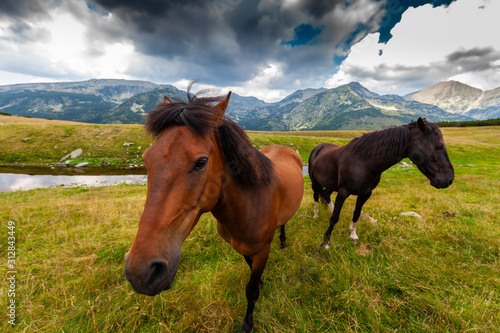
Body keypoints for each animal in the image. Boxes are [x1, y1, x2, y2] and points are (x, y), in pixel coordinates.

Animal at [125, 87, 304, 330]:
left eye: (201, 162)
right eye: (146, 159)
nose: (141, 272)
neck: (248, 207)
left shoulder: (262, 251)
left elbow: (251, 291)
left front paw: (248, 323)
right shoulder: (243, 249)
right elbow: (251, 273)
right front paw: (261, 282)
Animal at [308, 118, 454, 248]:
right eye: (439, 146)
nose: (449, 179)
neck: (363, 162)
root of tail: (318, 147)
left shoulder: (365, 193)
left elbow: (356, 213)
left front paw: (353, 235)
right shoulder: (344, 192)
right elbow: (334, 218)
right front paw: (325, 242)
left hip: (332, 185)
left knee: (325, 194)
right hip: (315, 181)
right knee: (316, 195)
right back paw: (315, 215)